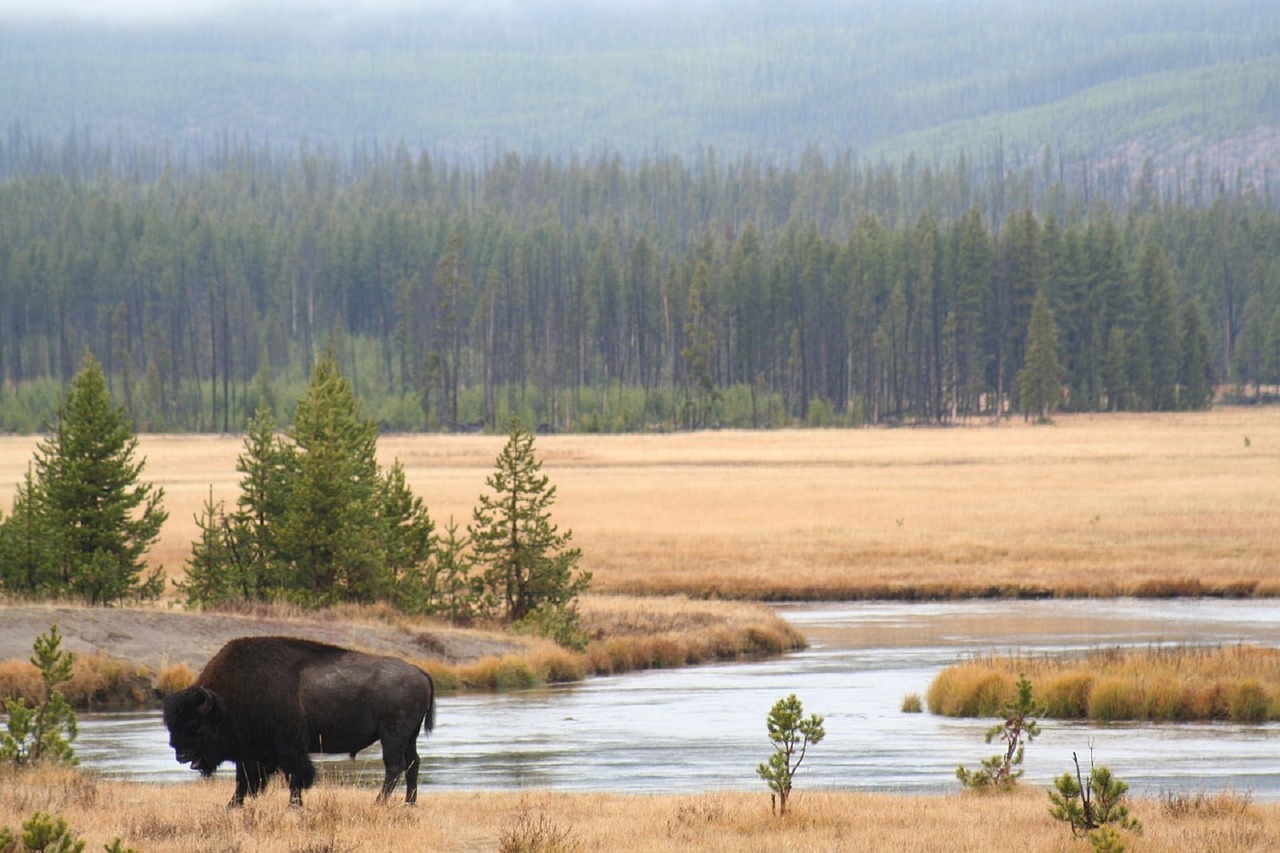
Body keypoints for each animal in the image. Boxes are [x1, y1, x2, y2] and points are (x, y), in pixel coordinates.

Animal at [161, 635, 435, 809]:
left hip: (393, 735)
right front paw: (232, 806)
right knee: (413, 763)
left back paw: (379, 803)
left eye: (196, 725)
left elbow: (295, 776)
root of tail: (418, 671)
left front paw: (294, 806)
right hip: (409, 737)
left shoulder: (288, 748)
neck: (226, 702)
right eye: (171, 725)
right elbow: (244, 781)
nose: (181, 755)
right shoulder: (251, 754)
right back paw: (409, 803)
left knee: (395, 766)